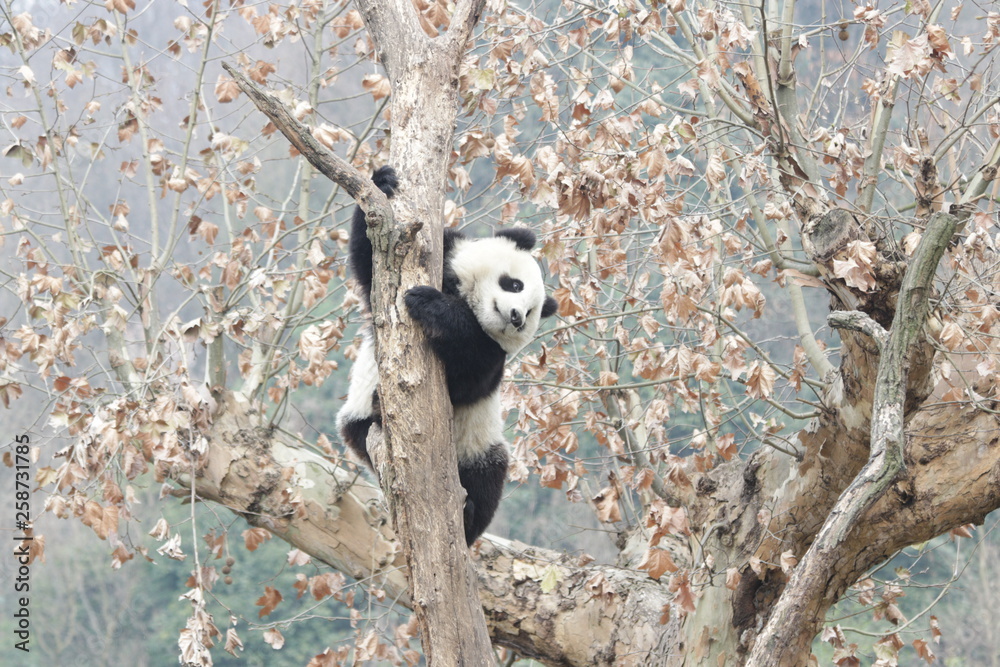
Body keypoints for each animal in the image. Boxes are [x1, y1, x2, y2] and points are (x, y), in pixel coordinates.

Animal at [336, 166, 558, 546]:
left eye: (531, 313)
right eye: (514, 284)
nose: (515, 316)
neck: (466, 296)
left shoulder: (492, 358)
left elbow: (468, 377)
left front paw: (432, 305)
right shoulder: (436, 254)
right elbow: (368, 264)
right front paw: (383, 181)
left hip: (479, 445)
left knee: (488, 477)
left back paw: (468, 519)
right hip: (359, 420)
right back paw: (379, 407)